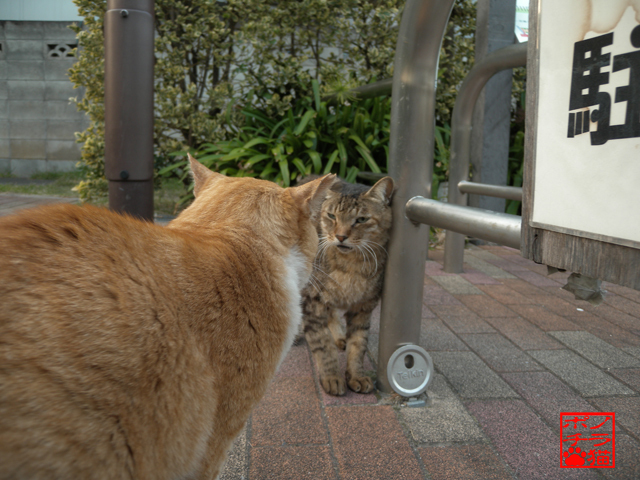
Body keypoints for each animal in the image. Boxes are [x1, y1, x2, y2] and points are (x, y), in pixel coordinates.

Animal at [302, 176, 396, 394]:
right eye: (331, 216)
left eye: (361, 219)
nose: (341, 236)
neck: (352, 267)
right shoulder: (312, 301)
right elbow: (322, 343)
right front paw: (331, 376)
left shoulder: (363, 307)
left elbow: (358, 345)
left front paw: (356, 376)